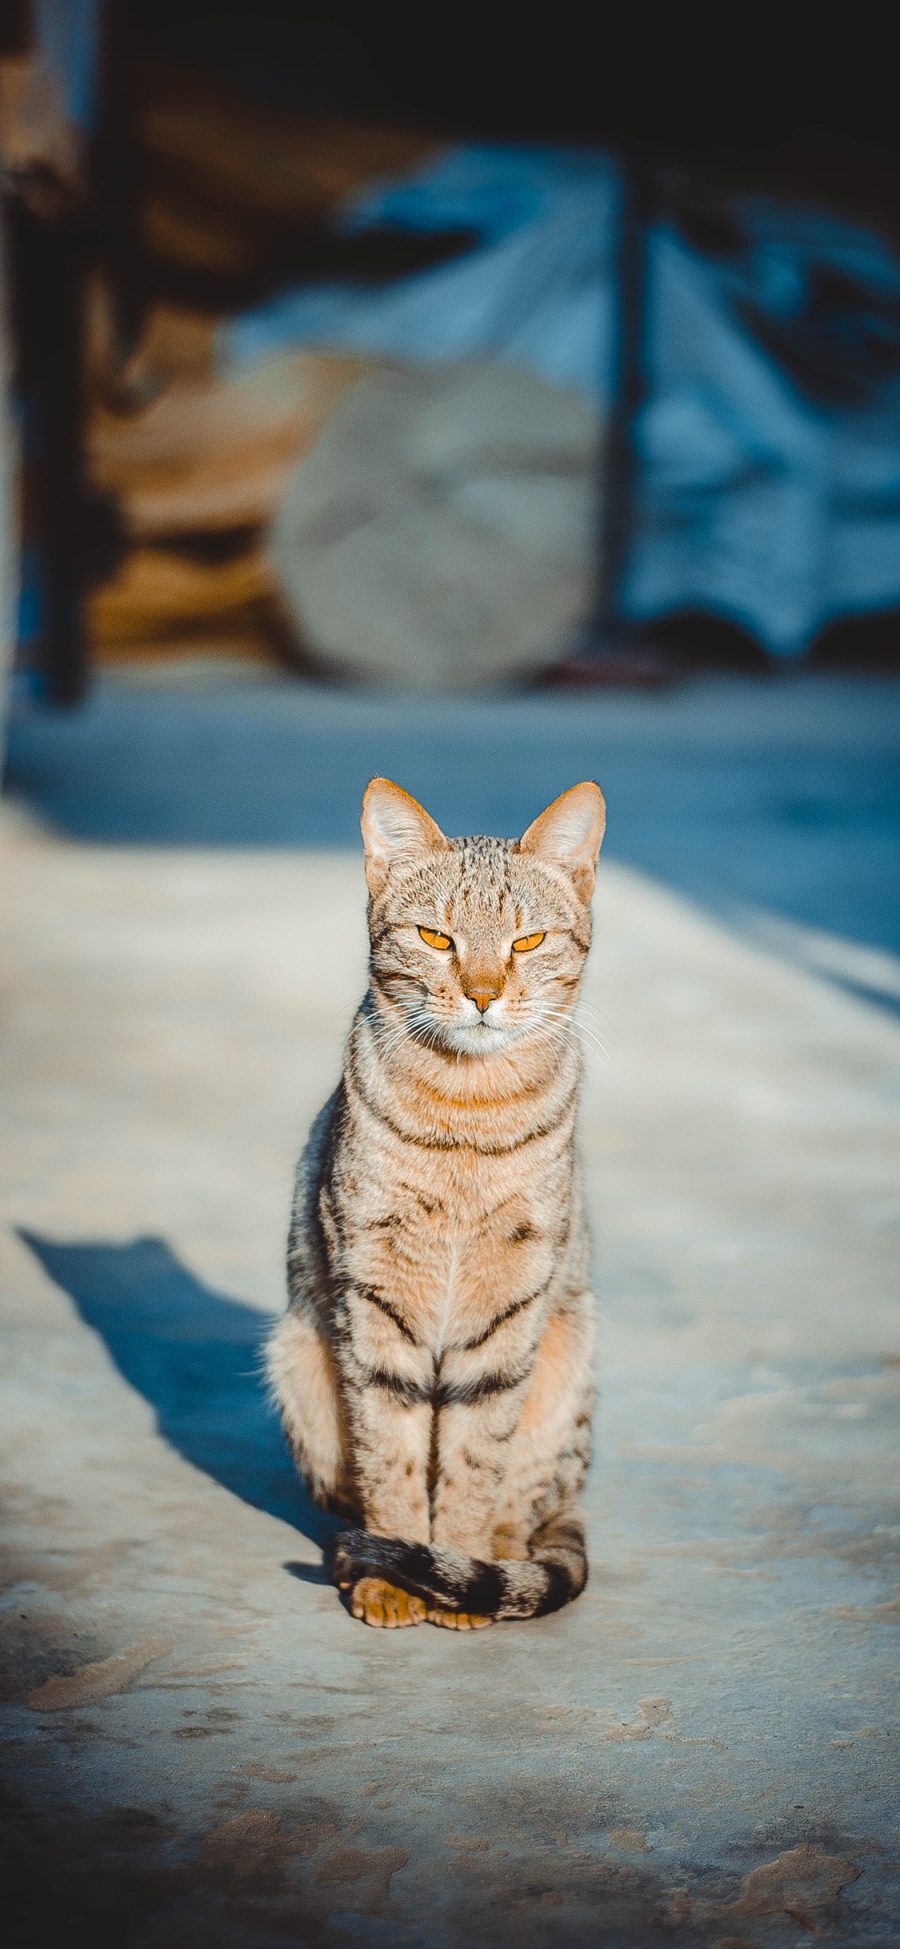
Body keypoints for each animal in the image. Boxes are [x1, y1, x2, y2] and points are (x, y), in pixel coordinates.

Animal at [264, 775, 603, 1629]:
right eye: (435, 937)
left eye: (527, 942)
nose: (482, 994)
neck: (468, 1111)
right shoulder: (374, 1295)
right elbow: (392, 1451)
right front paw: (394, 1572)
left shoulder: (509, 1304)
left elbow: (475, 1456)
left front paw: (455, 1565)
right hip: (299, 1358)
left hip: (564, 1366)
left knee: (526, 1508)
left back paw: (496, 1566)